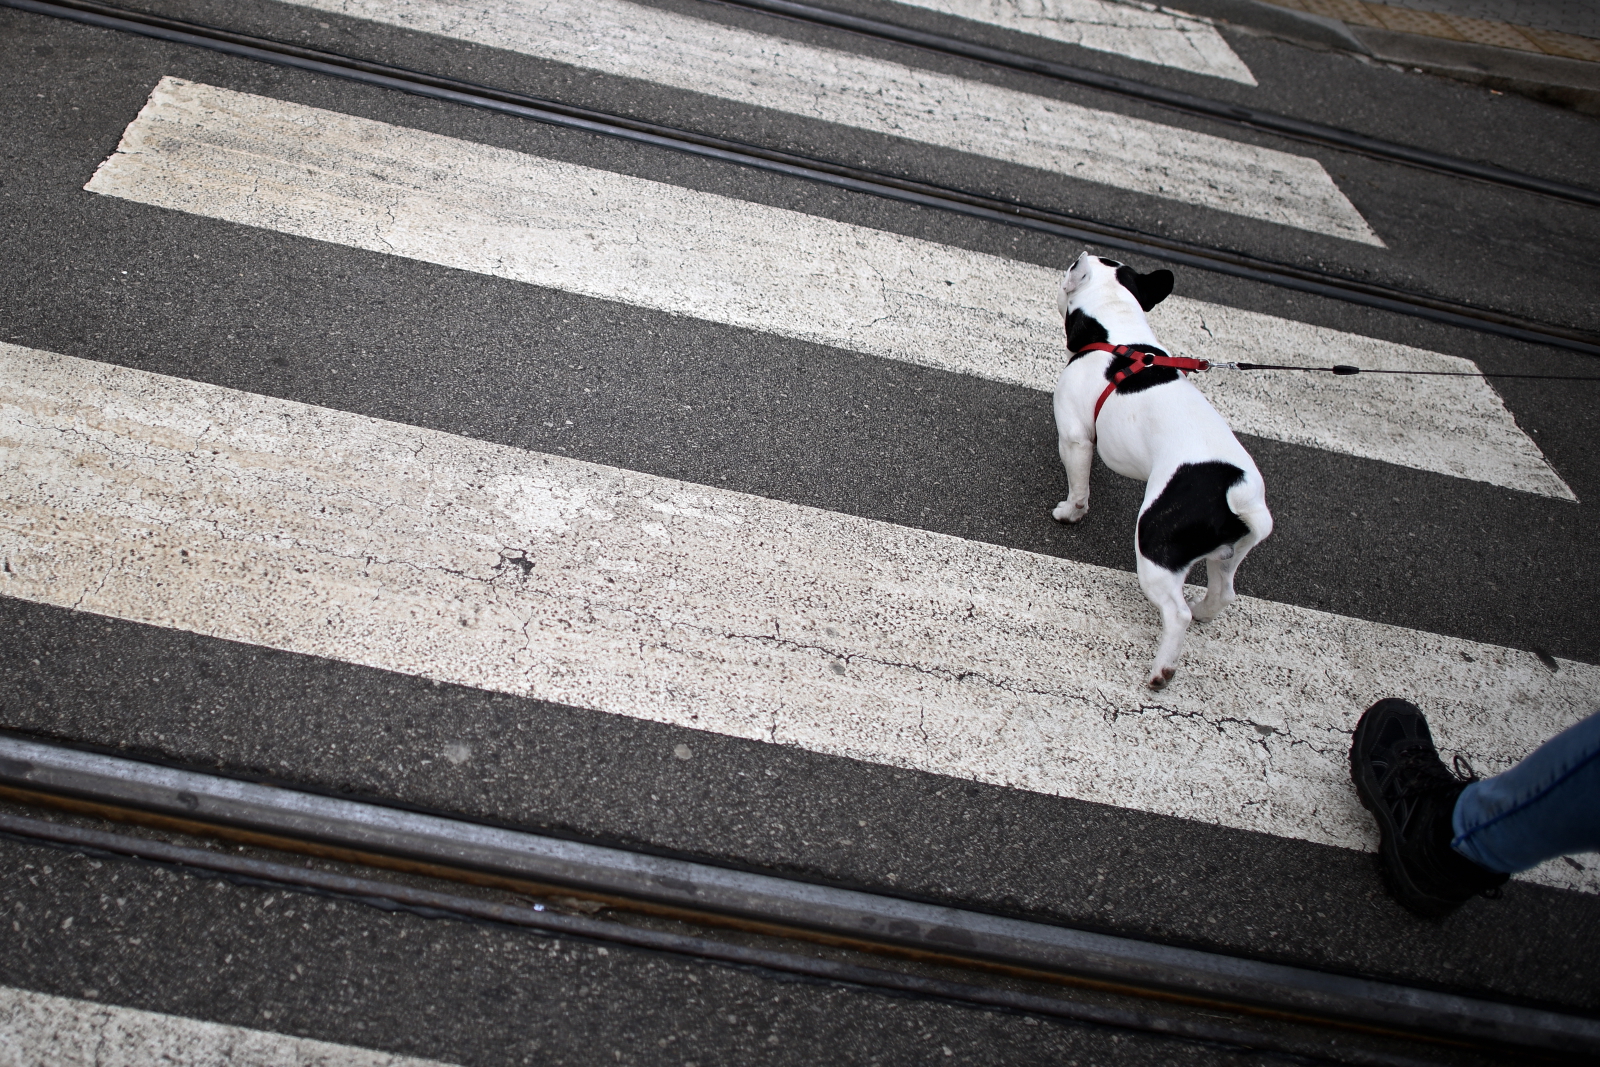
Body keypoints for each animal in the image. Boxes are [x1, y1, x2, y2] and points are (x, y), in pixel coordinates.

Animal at [1049, 254, 1273, 694]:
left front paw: (1069, 512)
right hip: (1228, 554)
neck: (1117, 331)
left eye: (1070, 268)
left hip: (1155, 546)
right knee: (1223, 593)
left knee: (1175, 611)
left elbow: (1079, 485)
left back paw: (1162, 670)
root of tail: (1236, 495)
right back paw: (1204, 611)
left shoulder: (1074, 436)